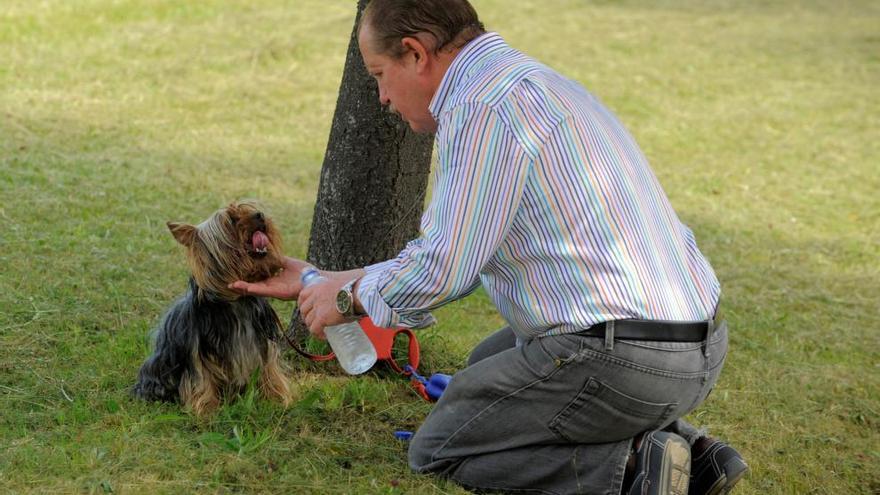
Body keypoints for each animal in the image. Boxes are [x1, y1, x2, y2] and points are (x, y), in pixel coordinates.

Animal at [134, 201, 290, 414]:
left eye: (249, 208)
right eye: (231, 220)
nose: (260, 214)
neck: (238, 302)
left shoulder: (263, 341)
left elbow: (269, 367)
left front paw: (274, 399)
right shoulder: (197, 351)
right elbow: (201, 378)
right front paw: (208, 409)